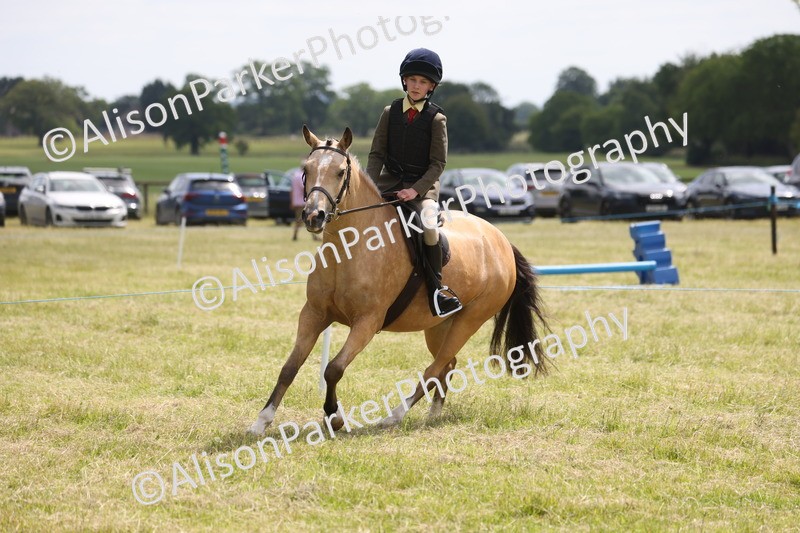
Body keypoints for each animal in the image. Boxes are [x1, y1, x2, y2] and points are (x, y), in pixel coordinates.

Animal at [248, 126, 549, 435]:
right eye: (306, 169)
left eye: (340, 172)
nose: (313, 216)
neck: (349, 248)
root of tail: (503, 242)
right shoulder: (314, 314)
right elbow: (289, 367)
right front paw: (262, 421)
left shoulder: (367, 322)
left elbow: (333, 369)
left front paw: (335, 417)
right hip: (439, 325)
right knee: (446, 364)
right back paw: (433, 414)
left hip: (470, 320)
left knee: (434, 368)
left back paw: (394, 416)